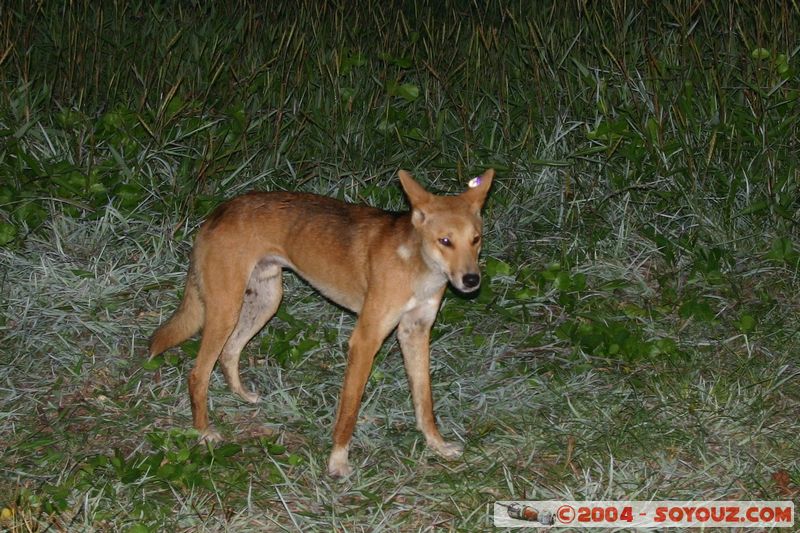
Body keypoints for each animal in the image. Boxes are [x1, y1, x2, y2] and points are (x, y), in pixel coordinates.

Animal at [147, 168, 490, 476]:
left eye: (475, 239)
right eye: (444, 240)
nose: (472, 280)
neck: (418, 268)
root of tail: (218, 211)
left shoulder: (414, 333)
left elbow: (424, 403)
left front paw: (436, 445)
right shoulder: (365, 341)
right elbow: (349, 412)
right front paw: (337, 462)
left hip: (266, 302)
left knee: (229, 353)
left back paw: (241, 395)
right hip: (225, 310)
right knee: (198, 374)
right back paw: (203, 433)